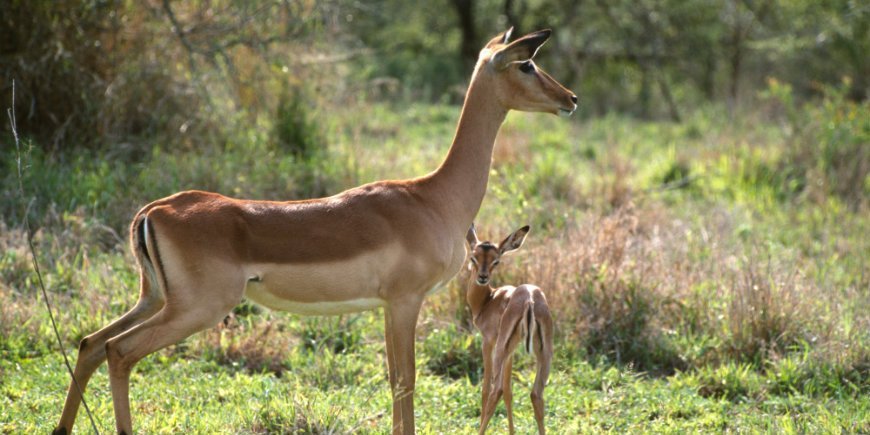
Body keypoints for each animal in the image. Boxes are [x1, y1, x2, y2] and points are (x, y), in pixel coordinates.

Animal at [465, 224, 553, 435]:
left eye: (496, 261)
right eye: (474, 257)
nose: (482, 277)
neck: (488, 300)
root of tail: (530, 299)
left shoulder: (488, 342)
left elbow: (486, 389)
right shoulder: (511, 351)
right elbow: (509, 391)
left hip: (500, 350)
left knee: (495, 390)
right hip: (544, 352)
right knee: (536, 394)